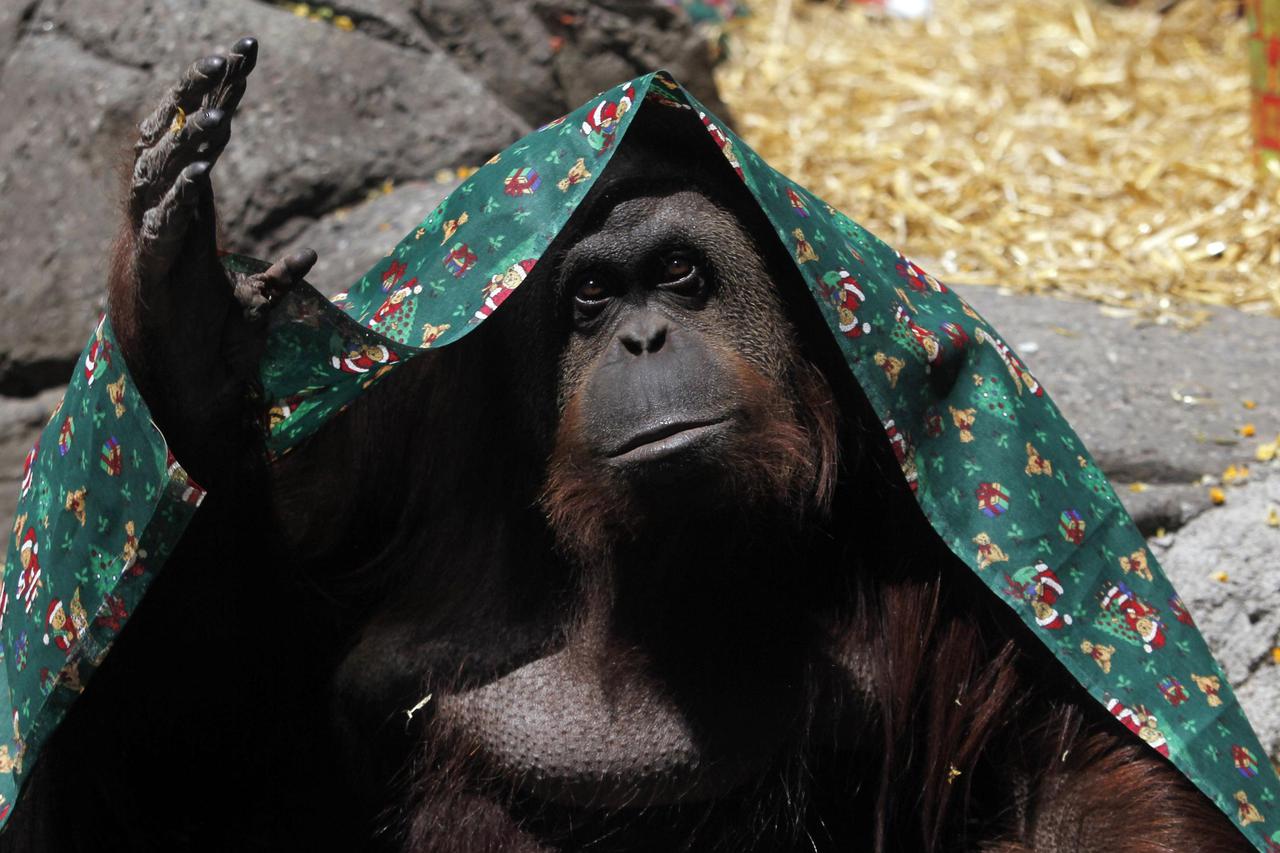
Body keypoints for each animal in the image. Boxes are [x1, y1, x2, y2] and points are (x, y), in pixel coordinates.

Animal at [0, 39, 1256, 853]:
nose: (646, 336)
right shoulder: (398, 446)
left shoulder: (949, 507)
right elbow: (197, 688)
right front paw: (190, 322)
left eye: (682, 276)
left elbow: (1073, 769)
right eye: (593, 298)